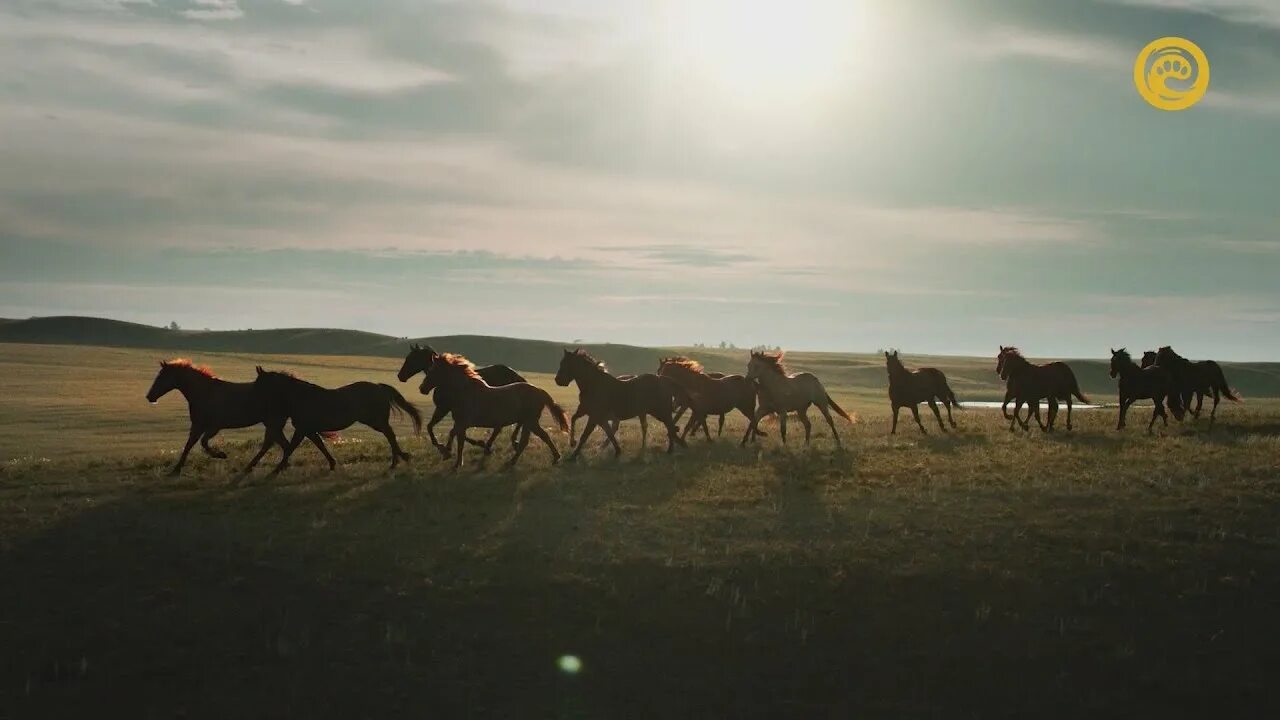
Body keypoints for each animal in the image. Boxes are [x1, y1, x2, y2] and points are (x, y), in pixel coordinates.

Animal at [146, 361, 300, 474]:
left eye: (161, 377)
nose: (149, 397)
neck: (205, 392)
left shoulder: (212, 427)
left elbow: (202, 443)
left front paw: (221, 455)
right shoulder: (197, 426)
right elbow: (189, 445)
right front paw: (176, 469)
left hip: (273, 423)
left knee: (276, 444)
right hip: (273, 424)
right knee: (281, 444)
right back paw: (275, 466)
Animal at [252, 366, 422, 474]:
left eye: (260, 385)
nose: (254, 403)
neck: (299, 397)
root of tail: (380, 387)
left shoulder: (302, 429)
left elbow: (290, 448)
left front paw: (276, 470)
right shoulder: (308, 430)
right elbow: (320, 445)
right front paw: (332, 464)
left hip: (376, 421)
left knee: (390, 435)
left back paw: (398, 460)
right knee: (390, 435)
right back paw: (399, 459)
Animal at [394, 340, 524, 453]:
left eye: (411, 358)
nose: (400, 376)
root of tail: (515, 374)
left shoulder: (443, 408)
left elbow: (433, 427)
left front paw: (443, 447)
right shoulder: (453, 411)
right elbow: (455, 430)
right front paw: (477, 443)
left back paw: (510, 442)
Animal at [422, 351, 568, 468]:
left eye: (432, 371)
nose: (422, 388)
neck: (465, 392)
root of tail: (539, 391)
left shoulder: (462, 422)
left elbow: (457, 438)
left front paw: (452, 458)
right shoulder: (460, 423)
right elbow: (457, 437)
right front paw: (450, 455)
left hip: (530, 421)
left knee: (527, 441)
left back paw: (512, 461)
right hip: (530, 422)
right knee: (540, 437)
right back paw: (554, 457)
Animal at [552, 348, 686, 458]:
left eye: (566, 364)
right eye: (561, 363)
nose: (558, 380)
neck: (593, 385)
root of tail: (663, 380)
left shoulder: (594, 417)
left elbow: (585, 435)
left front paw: (573, 456)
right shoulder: (592, 414)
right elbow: (577, 420)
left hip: (660, 412)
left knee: (670, 427)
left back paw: (672, 449)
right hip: (656, 413)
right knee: (670, 427)